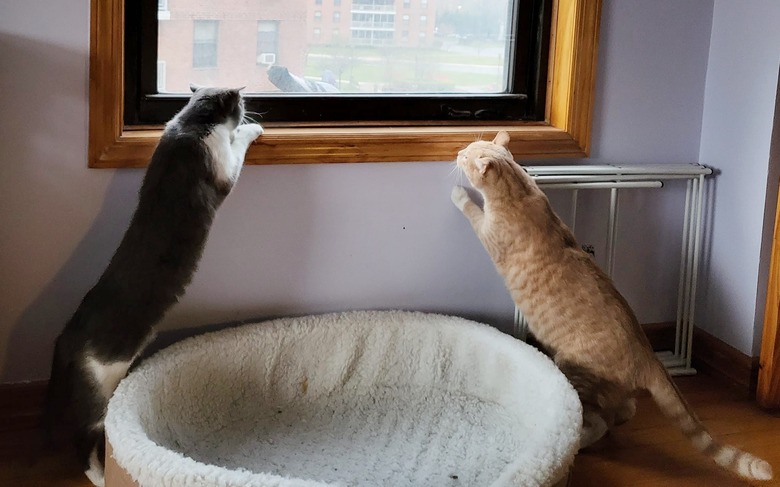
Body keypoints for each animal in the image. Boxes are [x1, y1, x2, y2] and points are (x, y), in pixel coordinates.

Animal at [44, 86, 264, 486]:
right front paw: (252, 128)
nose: (247, 106)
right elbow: (236, 145)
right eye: (240, 104)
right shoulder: (222, 165)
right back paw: (100, 476)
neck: (191, 124)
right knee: (84, 439)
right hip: (98, 394)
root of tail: (64, 341)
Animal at [450, 131, 772, 484]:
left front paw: (459, 193)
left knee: (597, 421)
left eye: (466, 155)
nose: (457, 152)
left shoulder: (487, 231)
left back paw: (578, 446)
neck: (521, 191)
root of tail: (649, 355)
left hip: (576, 372)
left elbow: (472, 209)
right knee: (624, 410)